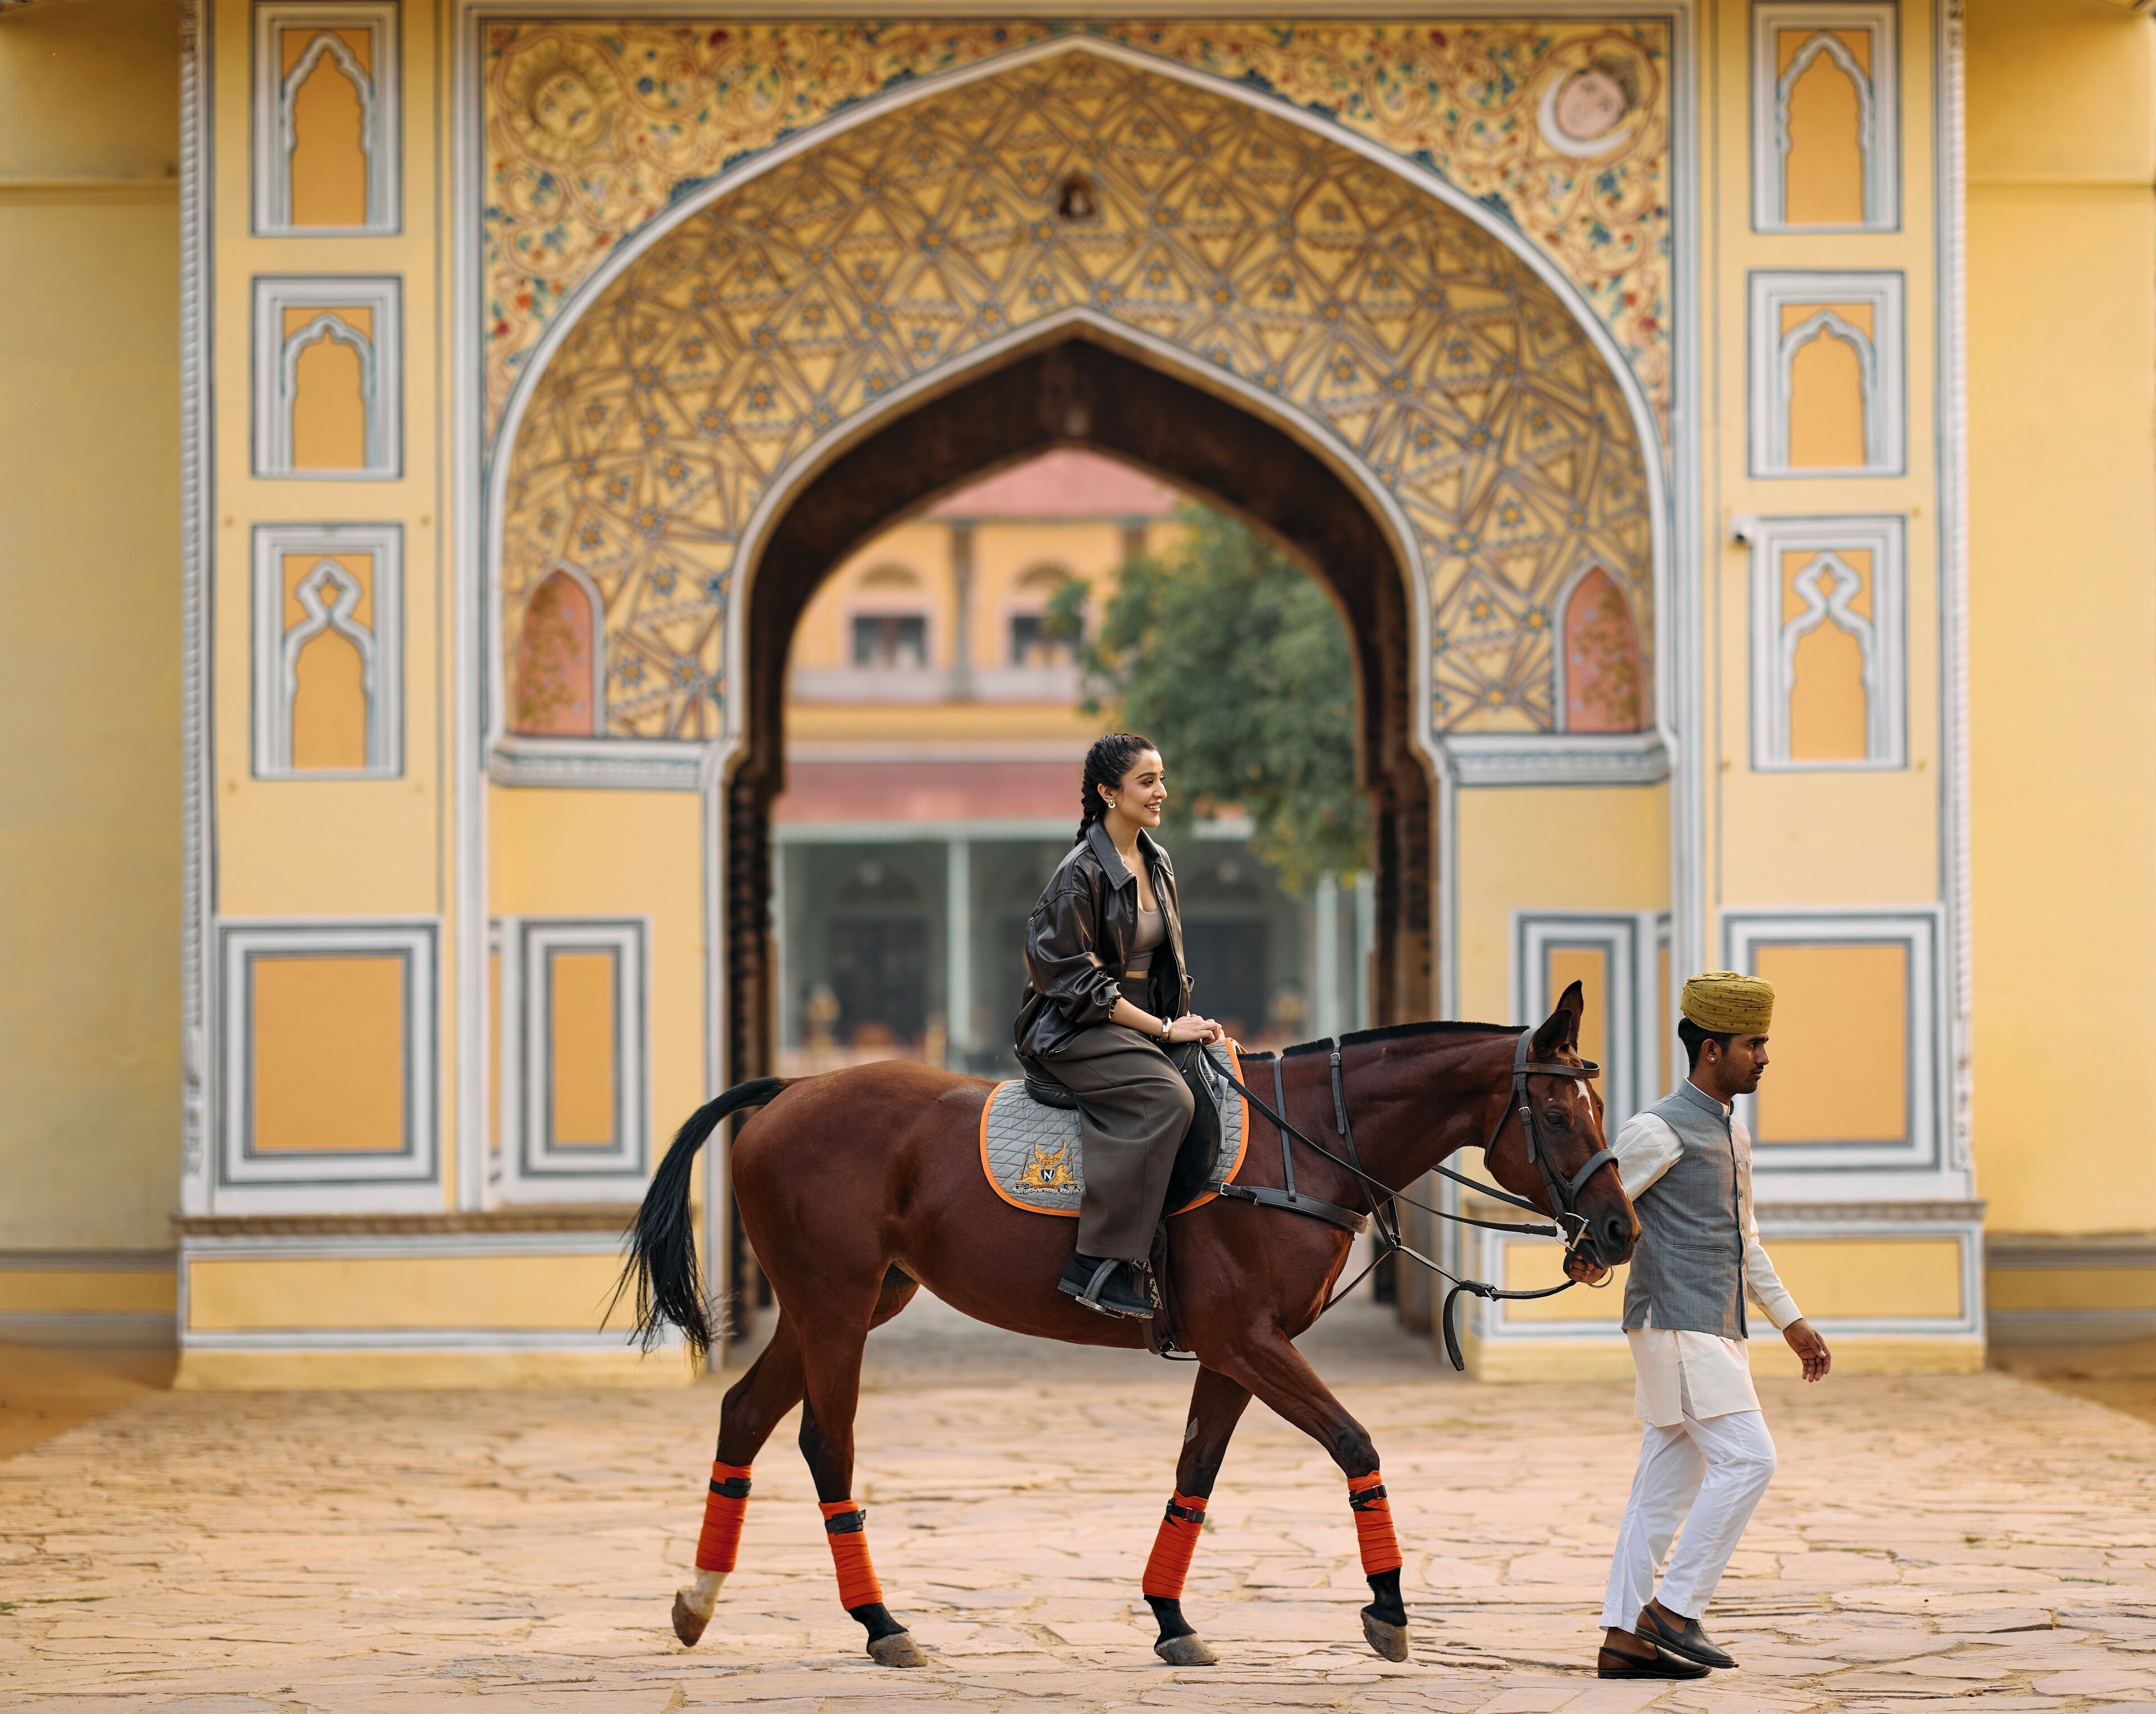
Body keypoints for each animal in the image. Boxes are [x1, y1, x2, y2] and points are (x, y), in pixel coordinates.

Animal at [620, 981, 1636, 1670]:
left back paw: (700, 1597)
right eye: (1555, 1111)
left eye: (1594, 1103)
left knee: (746, 1415)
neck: (1300, 1142)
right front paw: (1387, 1607)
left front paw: (1171, 1617)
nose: (1620, 1231)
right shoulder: (1249, 1342)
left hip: (847, 1301)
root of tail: (790, 1089)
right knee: (826, 1445)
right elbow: (1356, 1443)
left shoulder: (1234, 1353)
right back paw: (880, 1621)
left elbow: (1195, 1475)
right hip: (834, 1303)